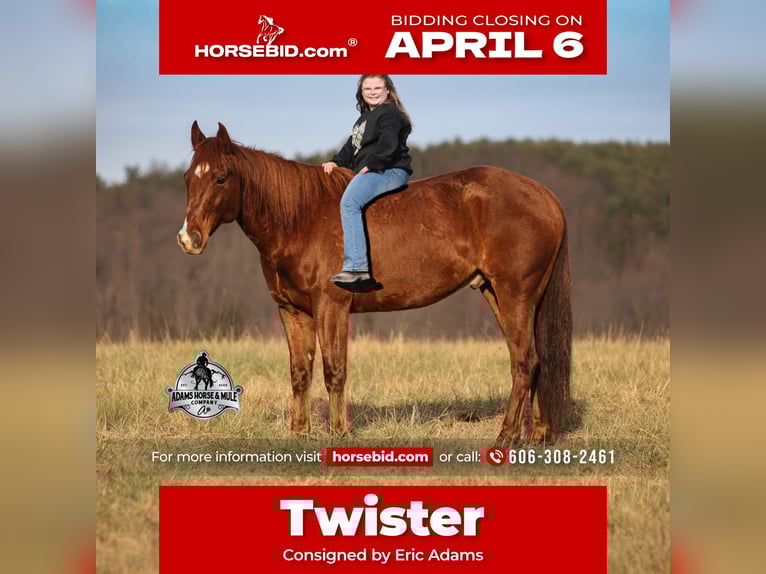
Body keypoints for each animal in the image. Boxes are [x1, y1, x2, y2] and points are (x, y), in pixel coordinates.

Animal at [177, 121, 572, 446]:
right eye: (187, 178)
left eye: (221, 178)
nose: (188, 238)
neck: (301, 217)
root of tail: (545, 195)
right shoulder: (292, 311)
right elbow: (300, 373)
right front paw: (298, 433)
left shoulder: (331, 306)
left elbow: (334, 370)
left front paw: (339, 433)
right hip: (504, 295)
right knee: (535, 360)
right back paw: (535, 433)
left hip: (514, 294)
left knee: (523, 362)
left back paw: (506, 436)